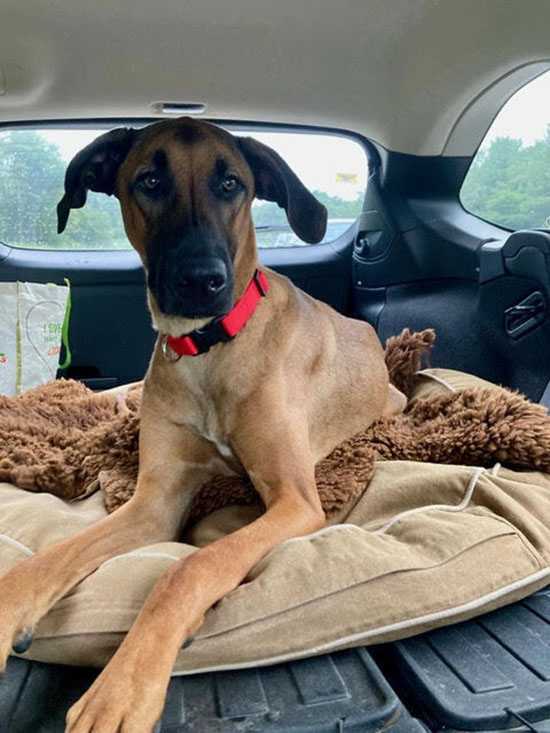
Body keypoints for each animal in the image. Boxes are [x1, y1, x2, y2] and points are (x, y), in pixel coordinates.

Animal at [0, 117, 406, 728]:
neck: (208, 351)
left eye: (231, 184)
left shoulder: (295, 501)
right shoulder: (154, 502)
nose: (200, 281)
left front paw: (122, 690)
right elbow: (53, 557)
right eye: (149, 181)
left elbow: (187, 570)